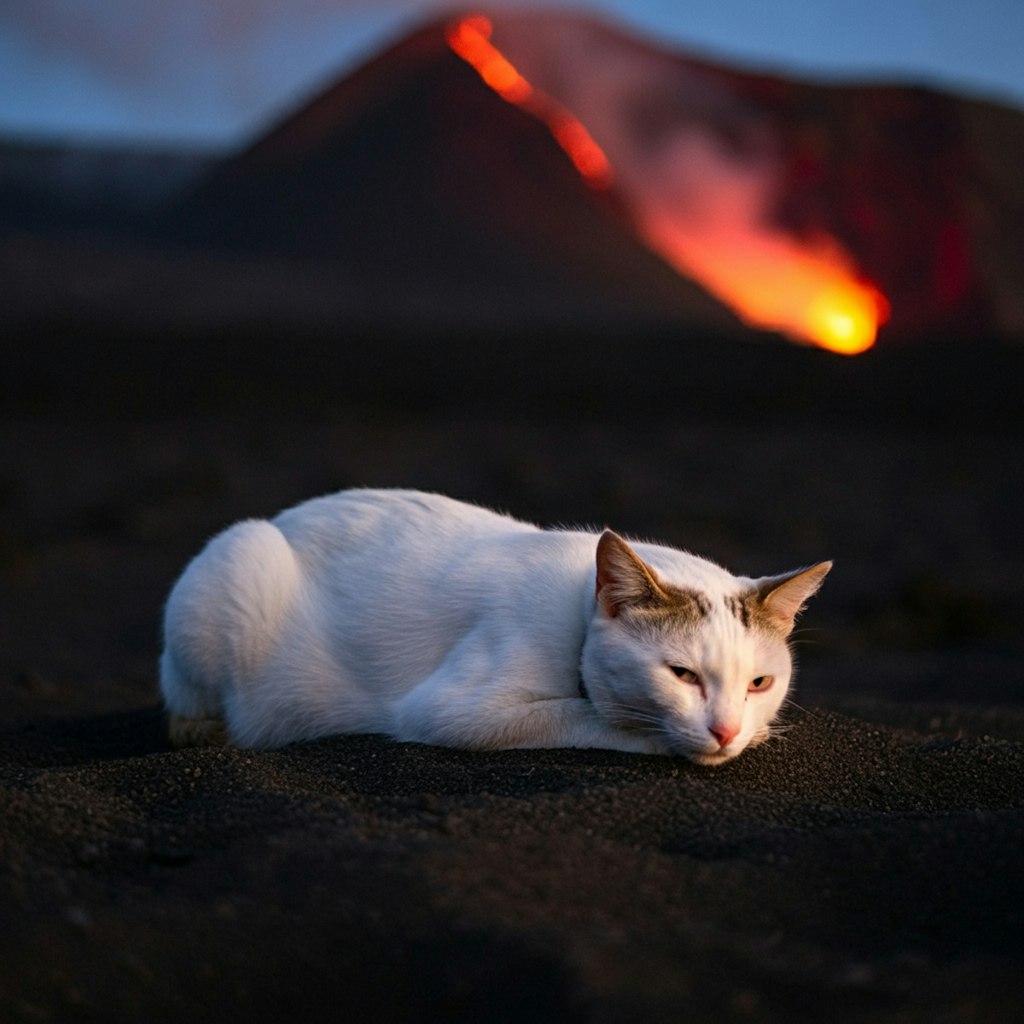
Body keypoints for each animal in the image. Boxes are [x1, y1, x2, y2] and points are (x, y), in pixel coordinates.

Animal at [161, 491, 831, 765]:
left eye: (760, 684)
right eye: (683, 675)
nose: (726, 730)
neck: (574, 610)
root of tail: (280, 518)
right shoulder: (448, 709)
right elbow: (581, 714)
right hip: (237, 564)